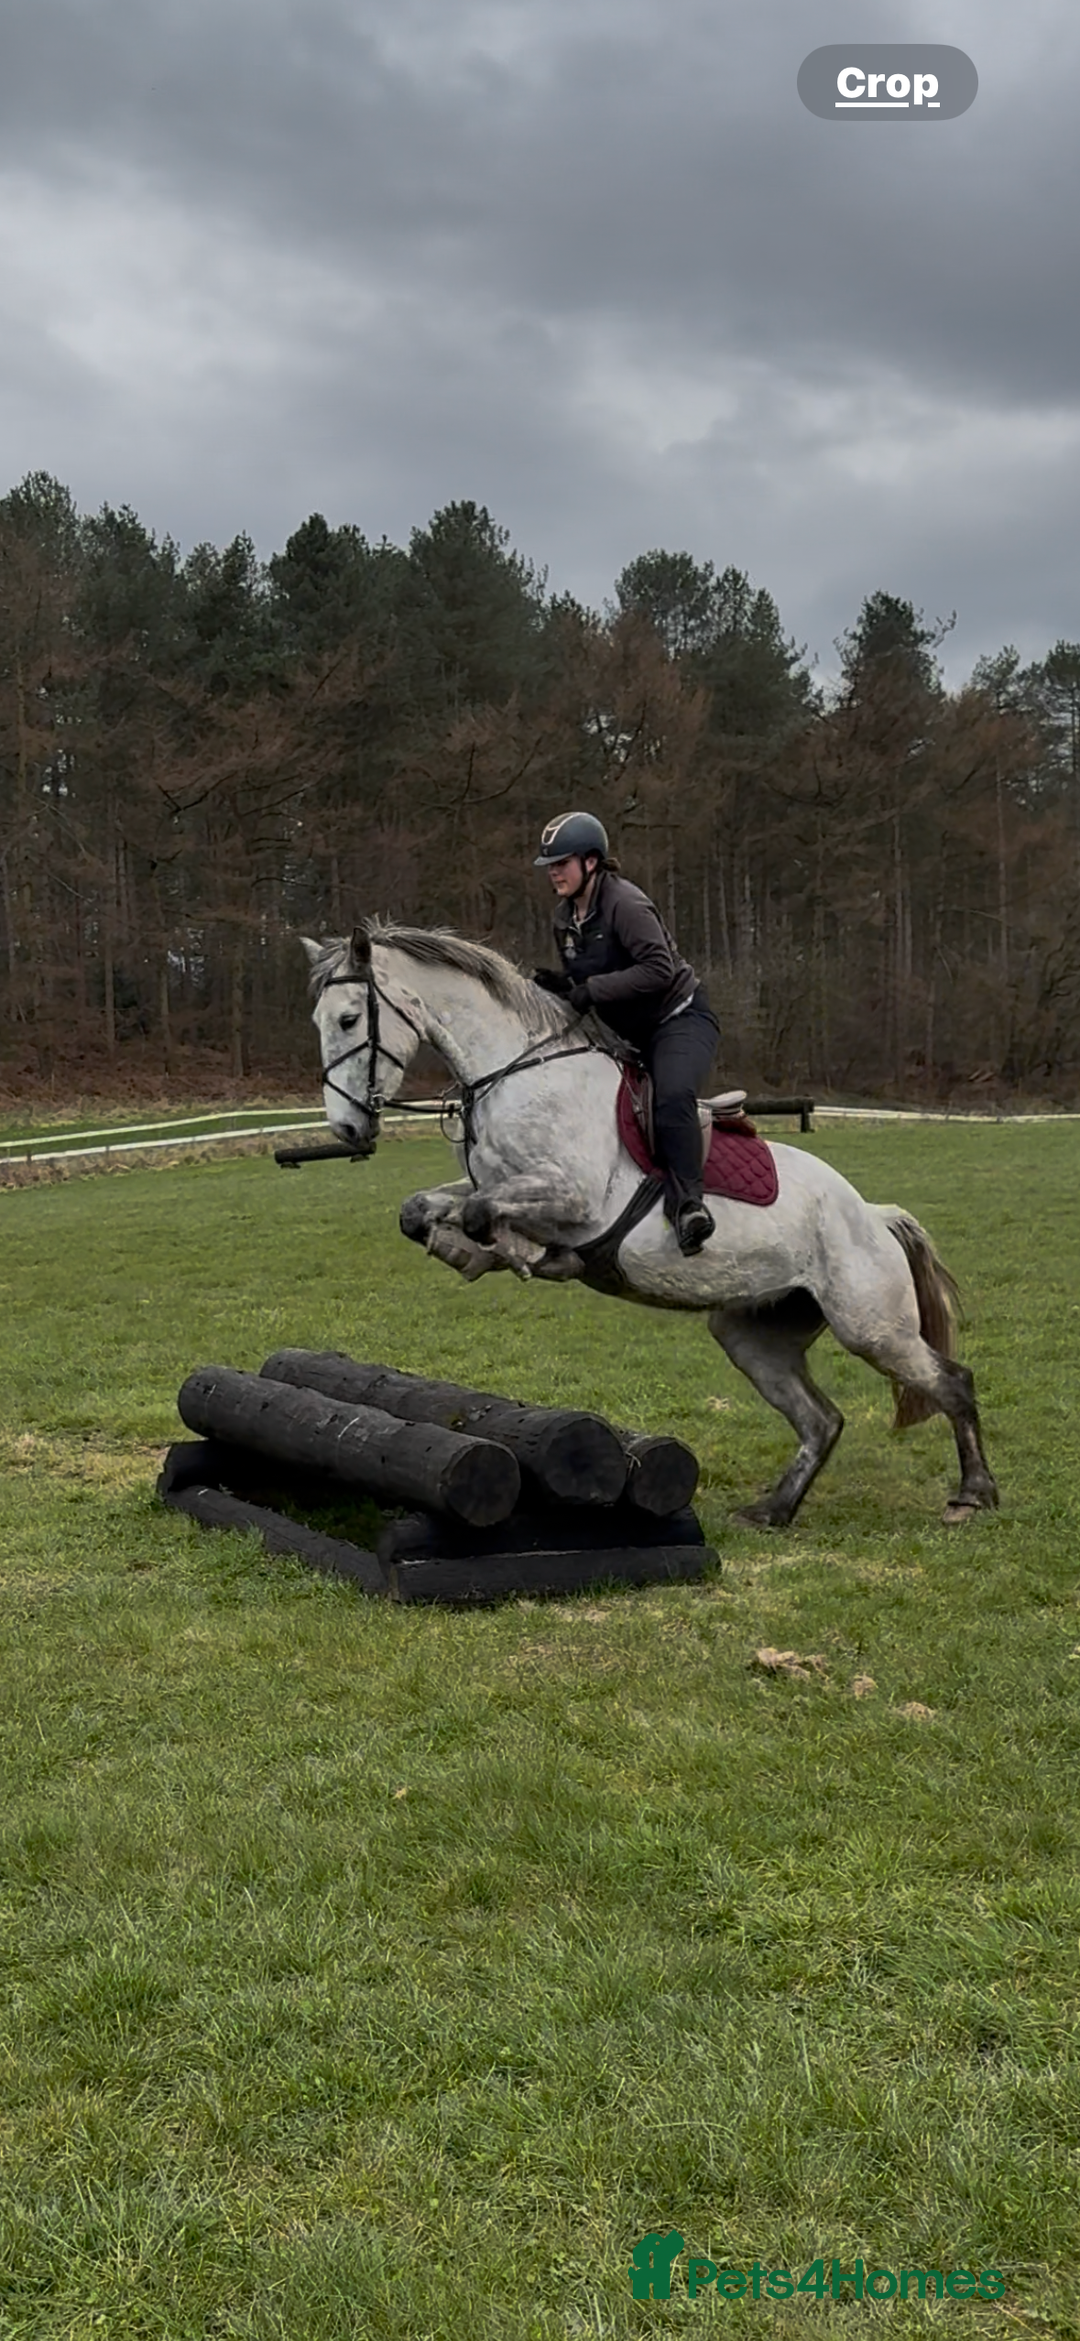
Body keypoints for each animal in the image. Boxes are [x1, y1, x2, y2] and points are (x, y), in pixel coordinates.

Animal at [302, 922, 998, 1530]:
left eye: (348, 1020)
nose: (348, 1130)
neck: (517, 1072)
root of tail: (874, 1215)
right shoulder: (495, 1185)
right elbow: (422, 1209)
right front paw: (467, 1250)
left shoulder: (572, 1196)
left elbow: (483, 1215)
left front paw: (529, 1255)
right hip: (755, 1334)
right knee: (821, 1420)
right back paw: (772, 1511)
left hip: (870, 1324)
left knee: (951, 1383)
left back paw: (972, 1496)